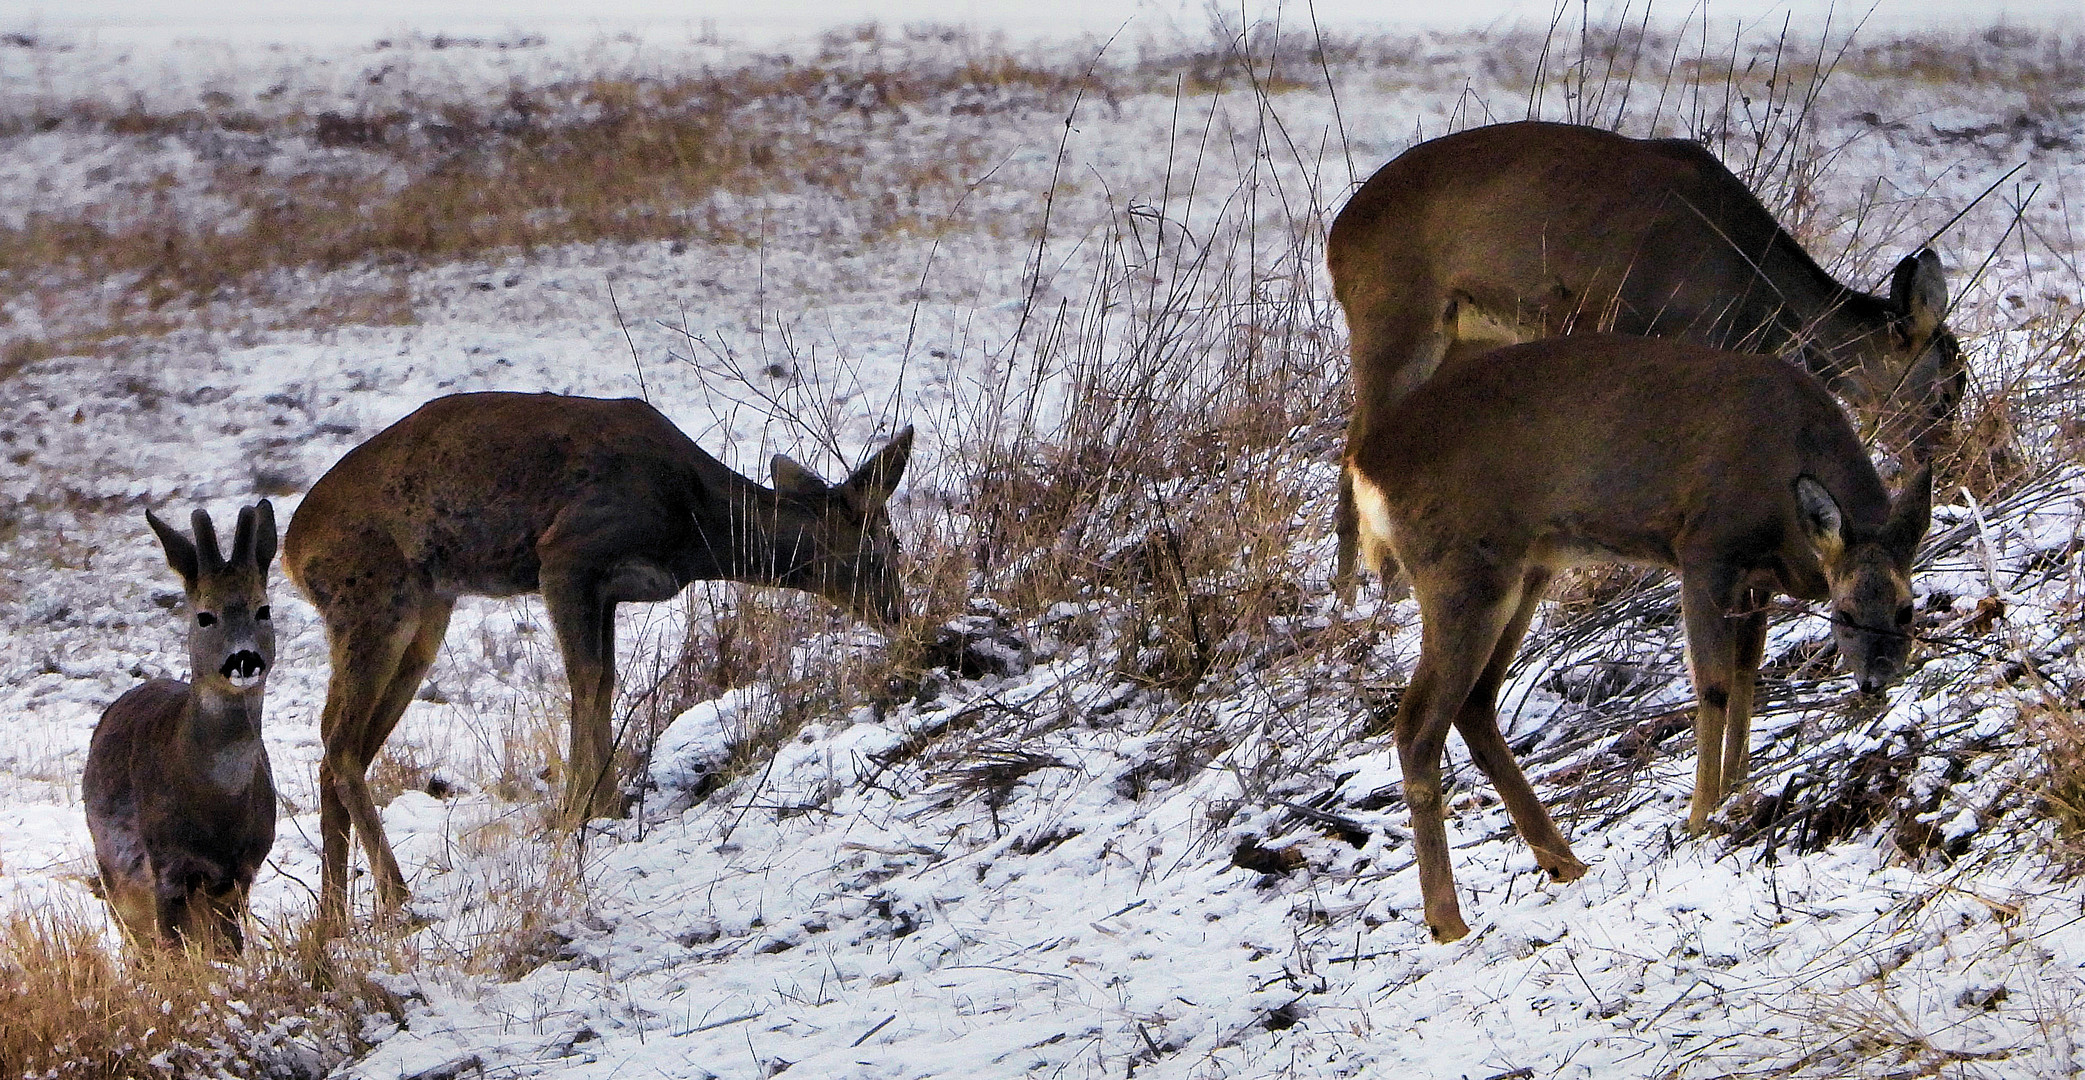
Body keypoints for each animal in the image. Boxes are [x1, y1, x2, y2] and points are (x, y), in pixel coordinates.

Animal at [85, 504, 279, 954]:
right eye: (205, 616)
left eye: (262, 610)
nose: (244, 659)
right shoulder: (166, 865)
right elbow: (172, 947)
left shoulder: (245, 868)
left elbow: (230, 946)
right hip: (113, 869)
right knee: (137, 942)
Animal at [281, 394, 917, 925]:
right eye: (885, 545)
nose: (904, 616)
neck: (694, 525)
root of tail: (291, 550)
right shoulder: (567, 554)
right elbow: (585, 681)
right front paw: (576, 813)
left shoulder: (606, 590)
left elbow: (604, 683)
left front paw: (606, 803)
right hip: (373, 597)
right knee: (337, 739)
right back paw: (395, 898)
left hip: (425, 613)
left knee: (338, 748)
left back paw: (332, 924)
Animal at [1351, 335, 1934, 938]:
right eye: (1844, 613)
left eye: (1907, 609)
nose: (1878, 677)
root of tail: (1363, 467)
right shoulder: (1705, 549)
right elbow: (1714, 684)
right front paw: (1702, 816)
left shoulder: (1756, 581)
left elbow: (1748, 677)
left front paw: (1739, 791)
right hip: (1461, 574)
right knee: (1417, 725)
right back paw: (1448, 921)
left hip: (1526, 572)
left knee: (1475, 704)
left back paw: (1564, 863)